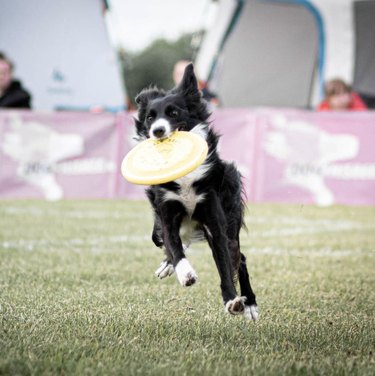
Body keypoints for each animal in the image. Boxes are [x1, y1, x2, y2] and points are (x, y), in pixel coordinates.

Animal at [134, 62, 260, 320]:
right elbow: (174, 246)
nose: (157, 131)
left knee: (239, 257)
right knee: (168, 240)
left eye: (173, 113)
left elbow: (224, 263)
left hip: (230, 212)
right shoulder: (167, 213)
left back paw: (251, 303)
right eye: (150, 118)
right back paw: (168, 265)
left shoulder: (213, 218)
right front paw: (185, 273)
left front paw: (232, 300)